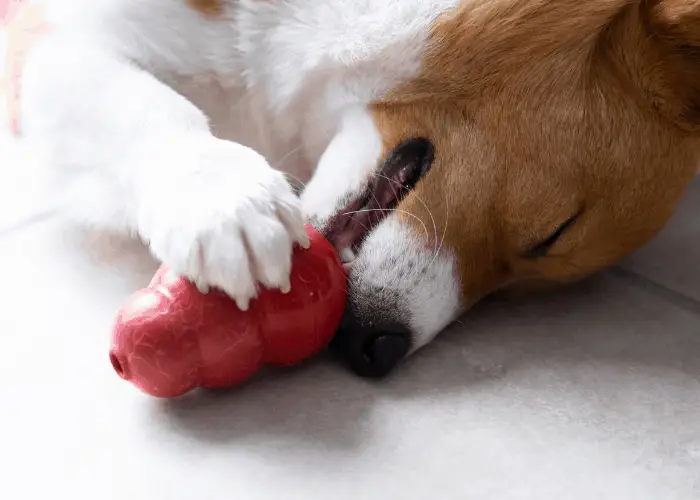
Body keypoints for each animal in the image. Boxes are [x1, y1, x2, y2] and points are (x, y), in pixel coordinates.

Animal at [12, 0, 700, 376]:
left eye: (522, 283)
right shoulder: (52, 41)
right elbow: (146, 107)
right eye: (552, 231)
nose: (376, 348)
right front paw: (224, 200)